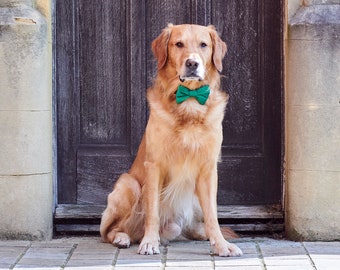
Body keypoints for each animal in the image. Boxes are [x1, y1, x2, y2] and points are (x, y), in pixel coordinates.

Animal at [99, 23, 243, 258]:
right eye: (179, 44)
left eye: (204, 45)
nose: (192, 63)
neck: (190, 102)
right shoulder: (154, 166)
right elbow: (152, 213)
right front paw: (150, 242)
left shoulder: (208, 169)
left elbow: (213, 217)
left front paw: (222, 245)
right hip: (128, 184)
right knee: (109, 230)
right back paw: (123, 237)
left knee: (194, 228)